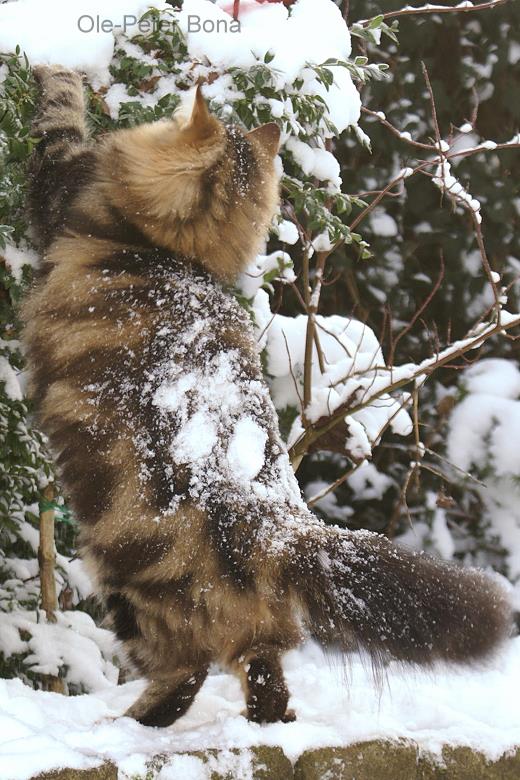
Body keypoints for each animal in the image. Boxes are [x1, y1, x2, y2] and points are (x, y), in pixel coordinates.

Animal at [23, 64, 512, 728]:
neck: (169, 251)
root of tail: (278, 525)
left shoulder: (60, 182)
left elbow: (59, 108)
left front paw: (56, 64)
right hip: (249, 619)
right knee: (265, 674)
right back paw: (267, 726)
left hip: (124, 577)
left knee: (185, 673)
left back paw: (122, 727)